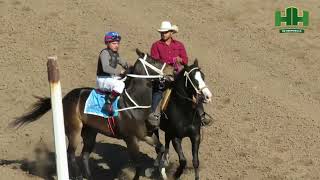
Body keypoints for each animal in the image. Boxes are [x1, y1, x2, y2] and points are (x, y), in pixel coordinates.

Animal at [10, 49, 169, 180]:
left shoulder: (146, 135)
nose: (170, 69)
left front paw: (158, 169)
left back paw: (88, 176)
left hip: (90, 132)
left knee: (85, 154)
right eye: (155, 60)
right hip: (74, 130)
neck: (135, 103)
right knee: (71, 154)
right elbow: (138, 164)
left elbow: (160, 148)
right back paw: (79, 176)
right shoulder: (130, 138)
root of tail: (64, 98)